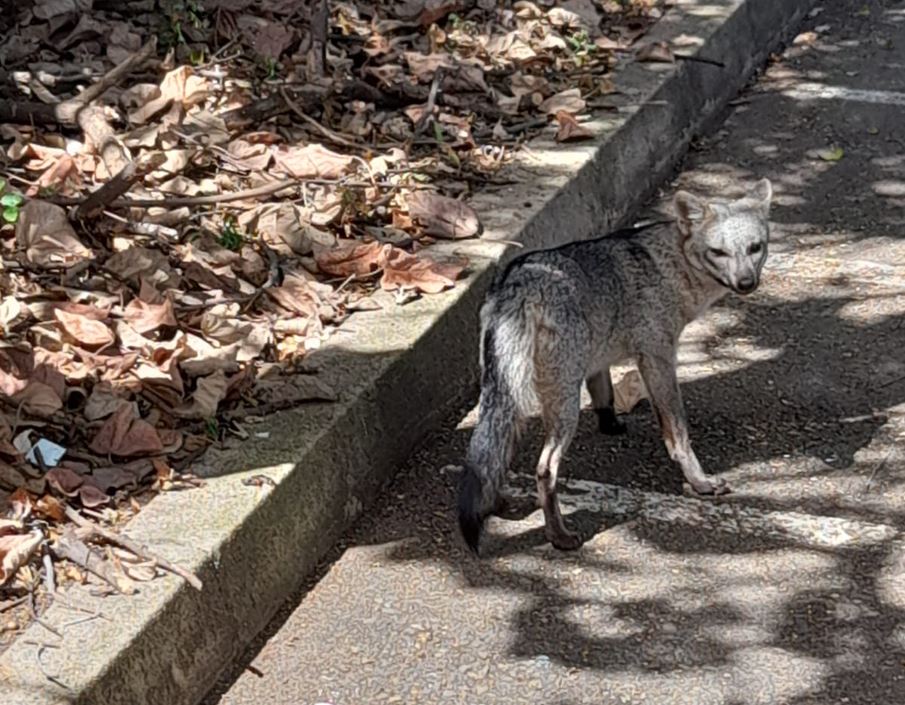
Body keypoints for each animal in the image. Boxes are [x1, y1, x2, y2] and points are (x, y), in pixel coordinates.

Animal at [460, 179, 768, 552]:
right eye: (718, 252)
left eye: (755, 248)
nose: (746, 283)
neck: (669, 264)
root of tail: (522, 280)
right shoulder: (658, 357)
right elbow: (677, 431)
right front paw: (699, 481)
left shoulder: (599, 355)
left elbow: (603, 393)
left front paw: (610, 423)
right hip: (563, 404)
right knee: (545, 469)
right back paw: (558, 535)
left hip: (508, 395)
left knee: (491, 453)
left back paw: (497, 501)